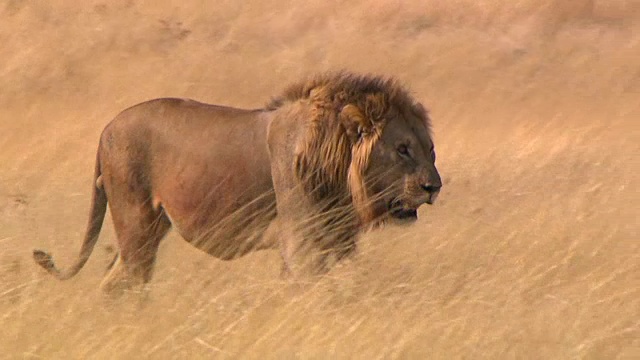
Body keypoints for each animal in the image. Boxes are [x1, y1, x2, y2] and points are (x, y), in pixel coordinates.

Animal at [32, 71, 442, 294]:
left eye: (430, 149)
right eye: (403, 149)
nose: (433, 187)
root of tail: (106, 129)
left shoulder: (336, 242)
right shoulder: (303, 245)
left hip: (150, 228)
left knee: (114, 283)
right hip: (135, 224)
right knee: (128, 281)